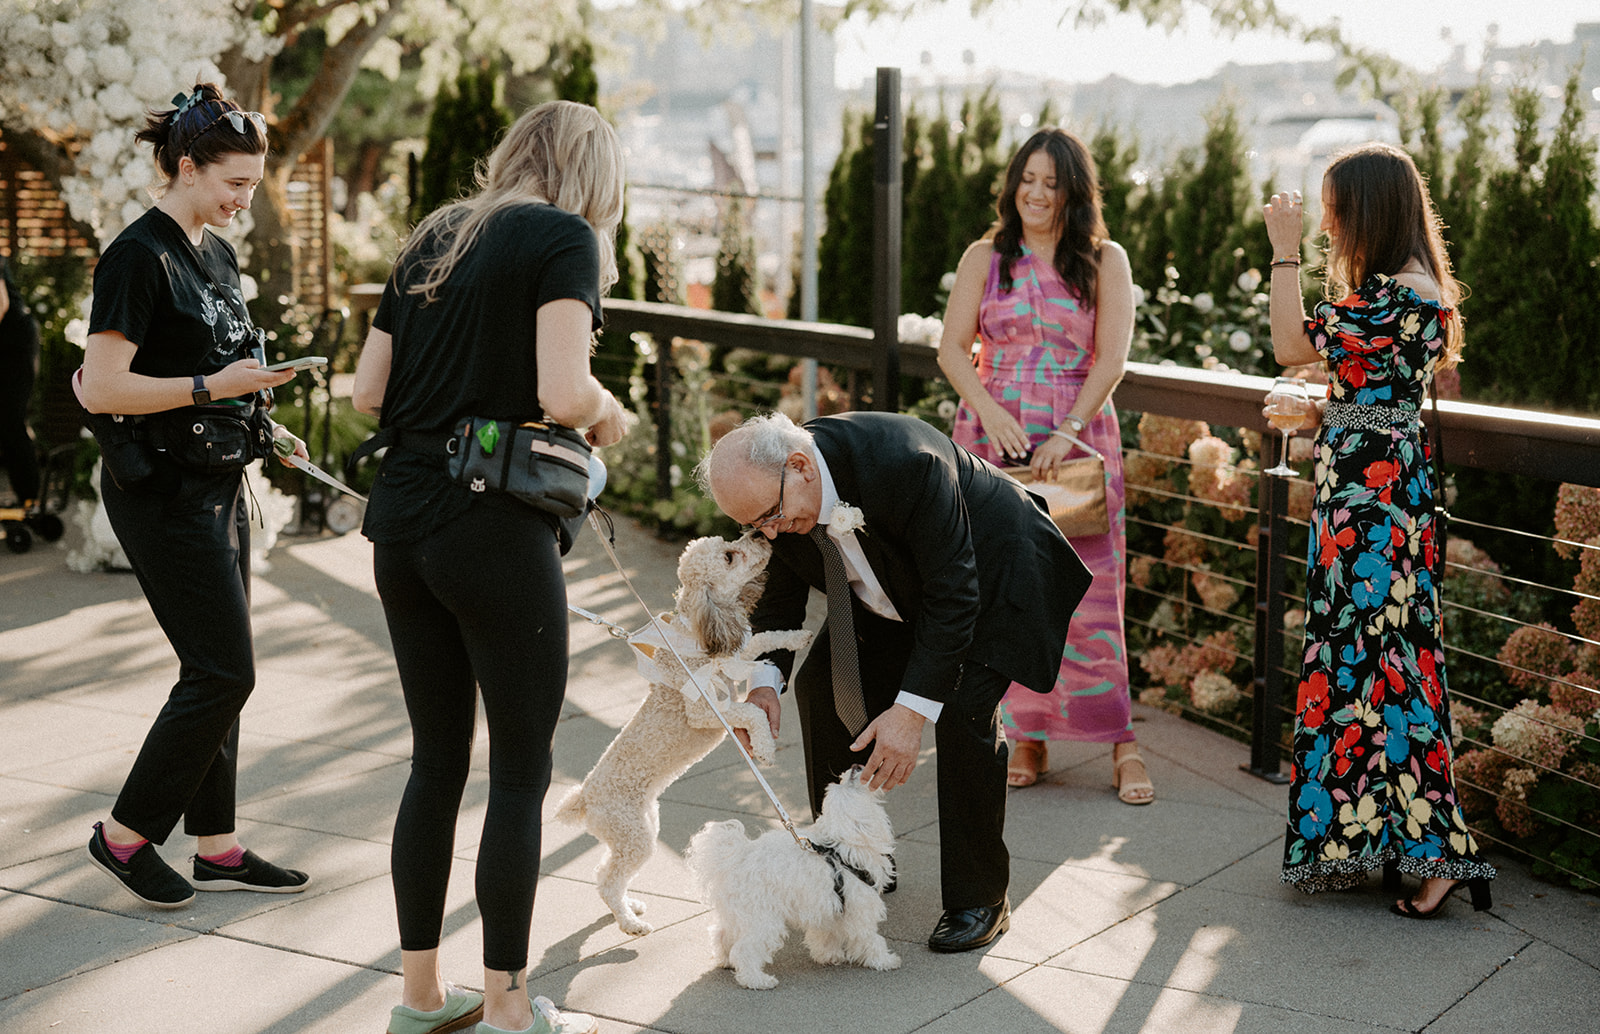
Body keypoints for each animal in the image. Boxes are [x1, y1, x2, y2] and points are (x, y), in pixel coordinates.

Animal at [560, 534, 812, 941]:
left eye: (728, 541)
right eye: (729, 556)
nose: (757, 534)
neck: (694, 639)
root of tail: (584, 797)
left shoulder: (729, 653)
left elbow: (760, 639)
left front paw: (797, 636)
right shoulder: (706, 712)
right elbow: (753, 711)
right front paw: (765, 749)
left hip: (642, 828)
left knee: (604, 873)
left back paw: (630, 907)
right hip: (634, 838)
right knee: (608, 881)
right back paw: (630, 923)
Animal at [688, 768, 902, 998]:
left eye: (842, 779)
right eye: (850, 781)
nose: (854, 766)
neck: (840, 848)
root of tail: (736, 859)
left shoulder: (827, 906)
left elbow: (825, 934)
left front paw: (829, 955)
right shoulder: (860, 908)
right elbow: (870, 937)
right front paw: (884, 960)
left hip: (737, 914)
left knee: (721, 935)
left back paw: (725, 960)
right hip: (762, 918)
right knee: (744, 950)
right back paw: (756, 980)